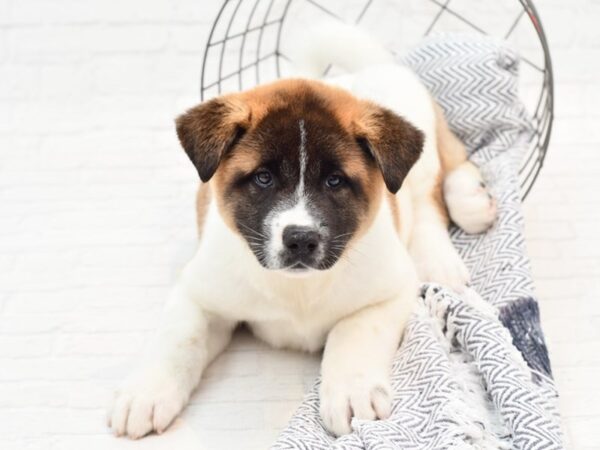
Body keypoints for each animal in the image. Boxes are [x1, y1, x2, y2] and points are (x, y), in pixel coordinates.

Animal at [106, 24, 496, 440]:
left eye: (335, 181)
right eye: (263, 178)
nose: (300, 240)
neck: (298, 289)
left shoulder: (388, 292)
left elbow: (353, 332)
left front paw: (352, 392)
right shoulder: (200, 294)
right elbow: (179, 338)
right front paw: (145, 392)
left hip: (422, 156)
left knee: (437, 185)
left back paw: (458, 226)